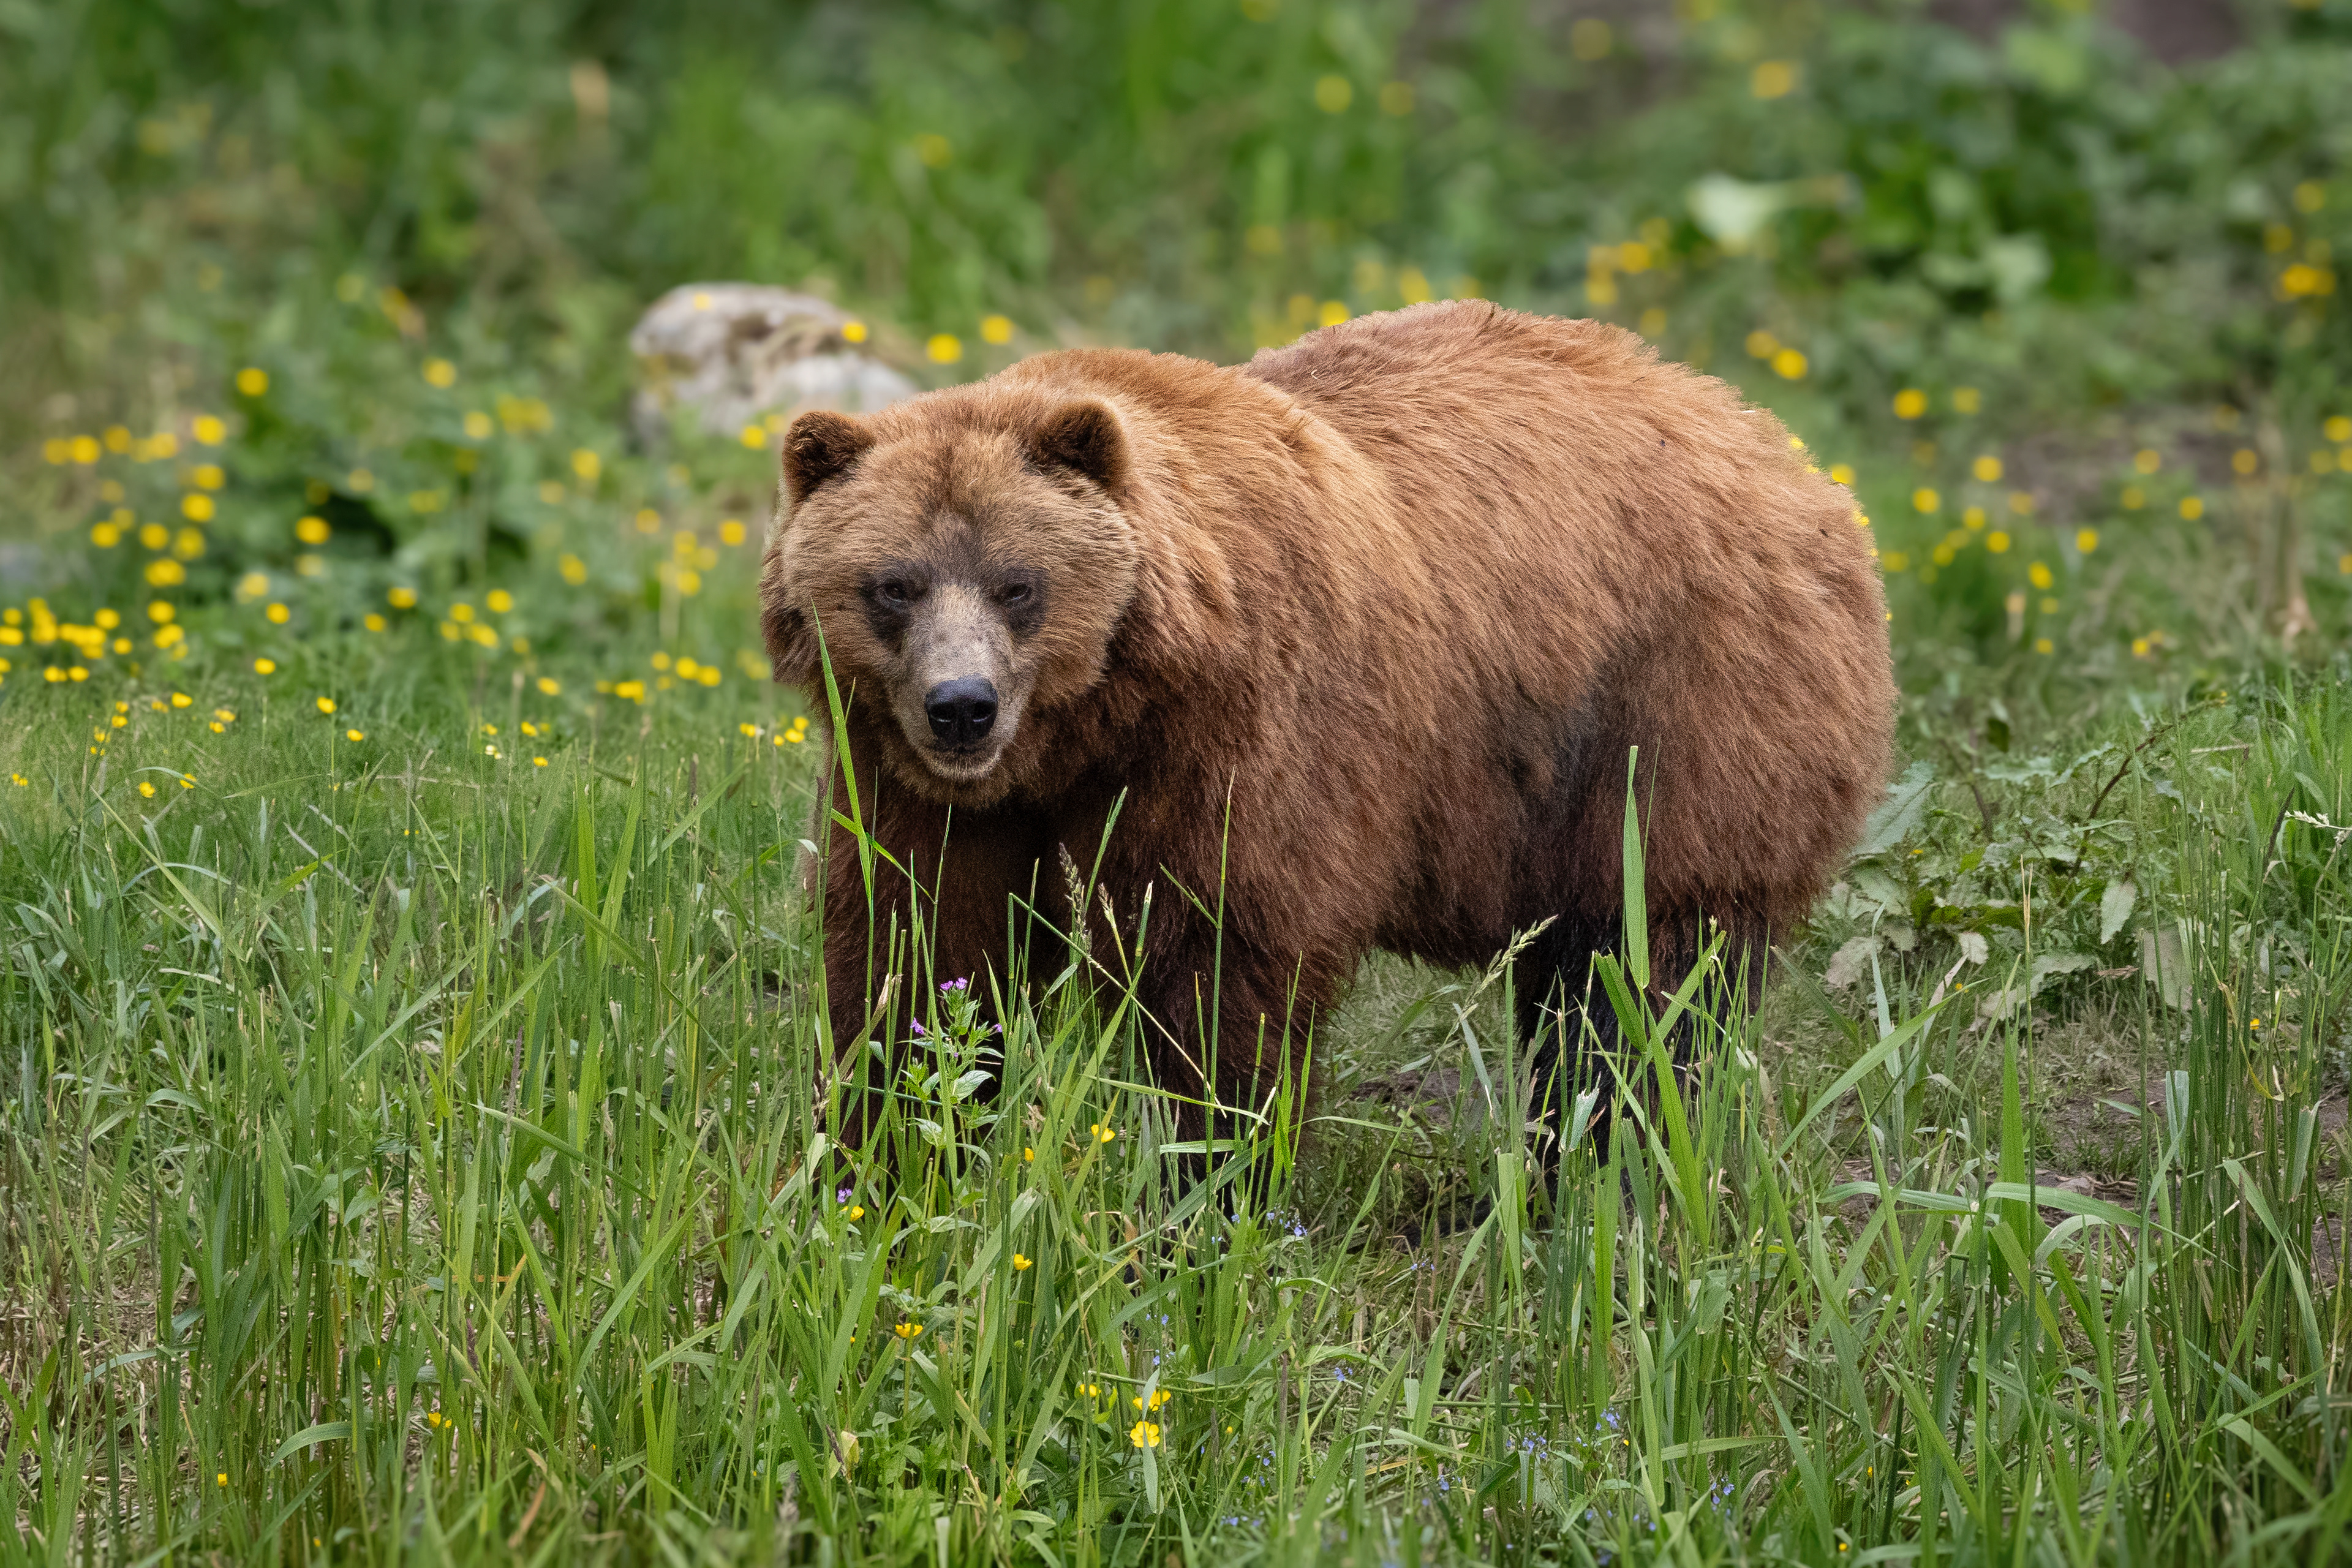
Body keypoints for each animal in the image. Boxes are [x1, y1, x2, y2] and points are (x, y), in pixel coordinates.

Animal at [759, 300, 1895, 1155]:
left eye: (1018, 584)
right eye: (894, 584)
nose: (962, 706)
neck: (1101, 721)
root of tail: (1782, 451)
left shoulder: (1247, 738)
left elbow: (1223, 959)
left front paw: (1210, 1182)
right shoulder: (909, 778)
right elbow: (919, 940)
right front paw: (888, 1154)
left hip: (1679, 714)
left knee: (1644, 978)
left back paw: (1606, 1168)